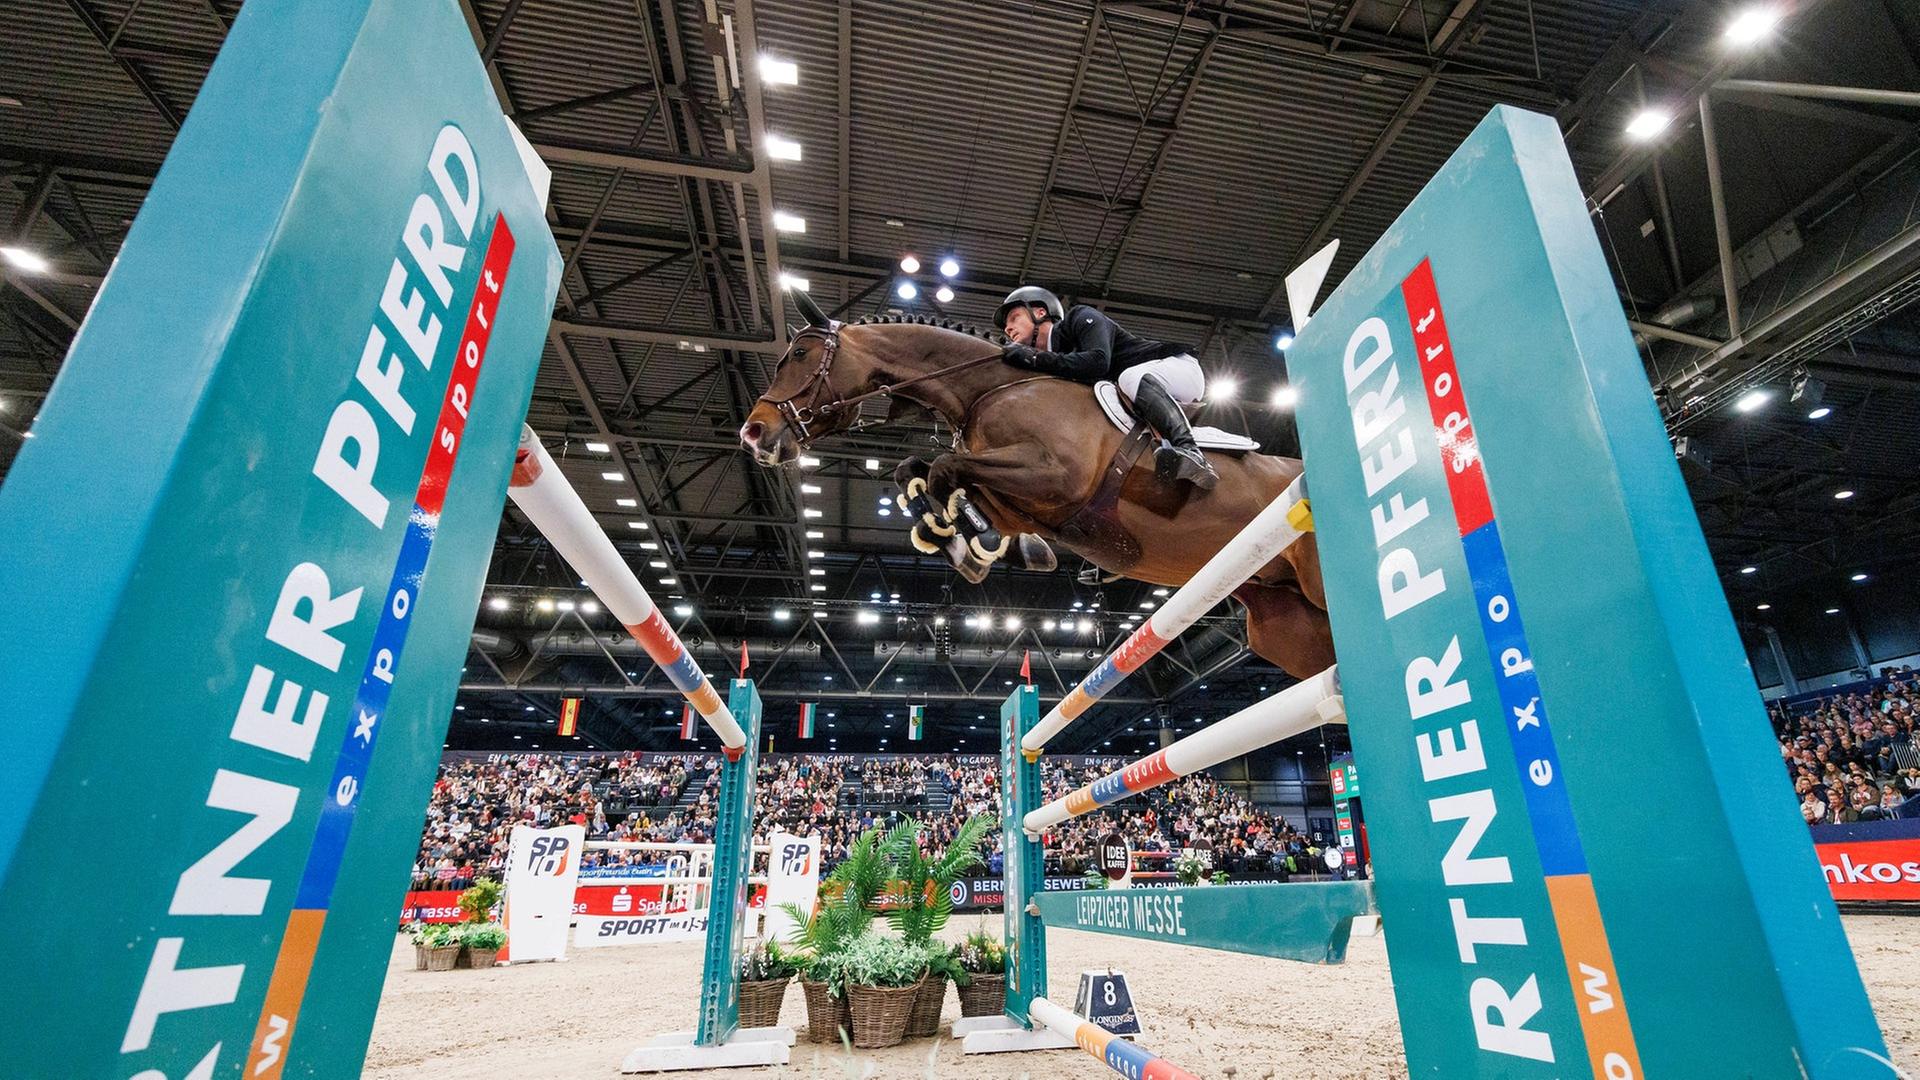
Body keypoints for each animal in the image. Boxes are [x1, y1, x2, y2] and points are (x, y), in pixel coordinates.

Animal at [739, 291, 1335, 680]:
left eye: (799, 355)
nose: (753, 433)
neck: (991, 388)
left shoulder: (1054, 476)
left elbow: (944, 466)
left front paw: (969, 541)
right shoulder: (1021, 498)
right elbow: (919, 468)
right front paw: (961, 537)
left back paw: (1189, 460)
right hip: (1288, 624)